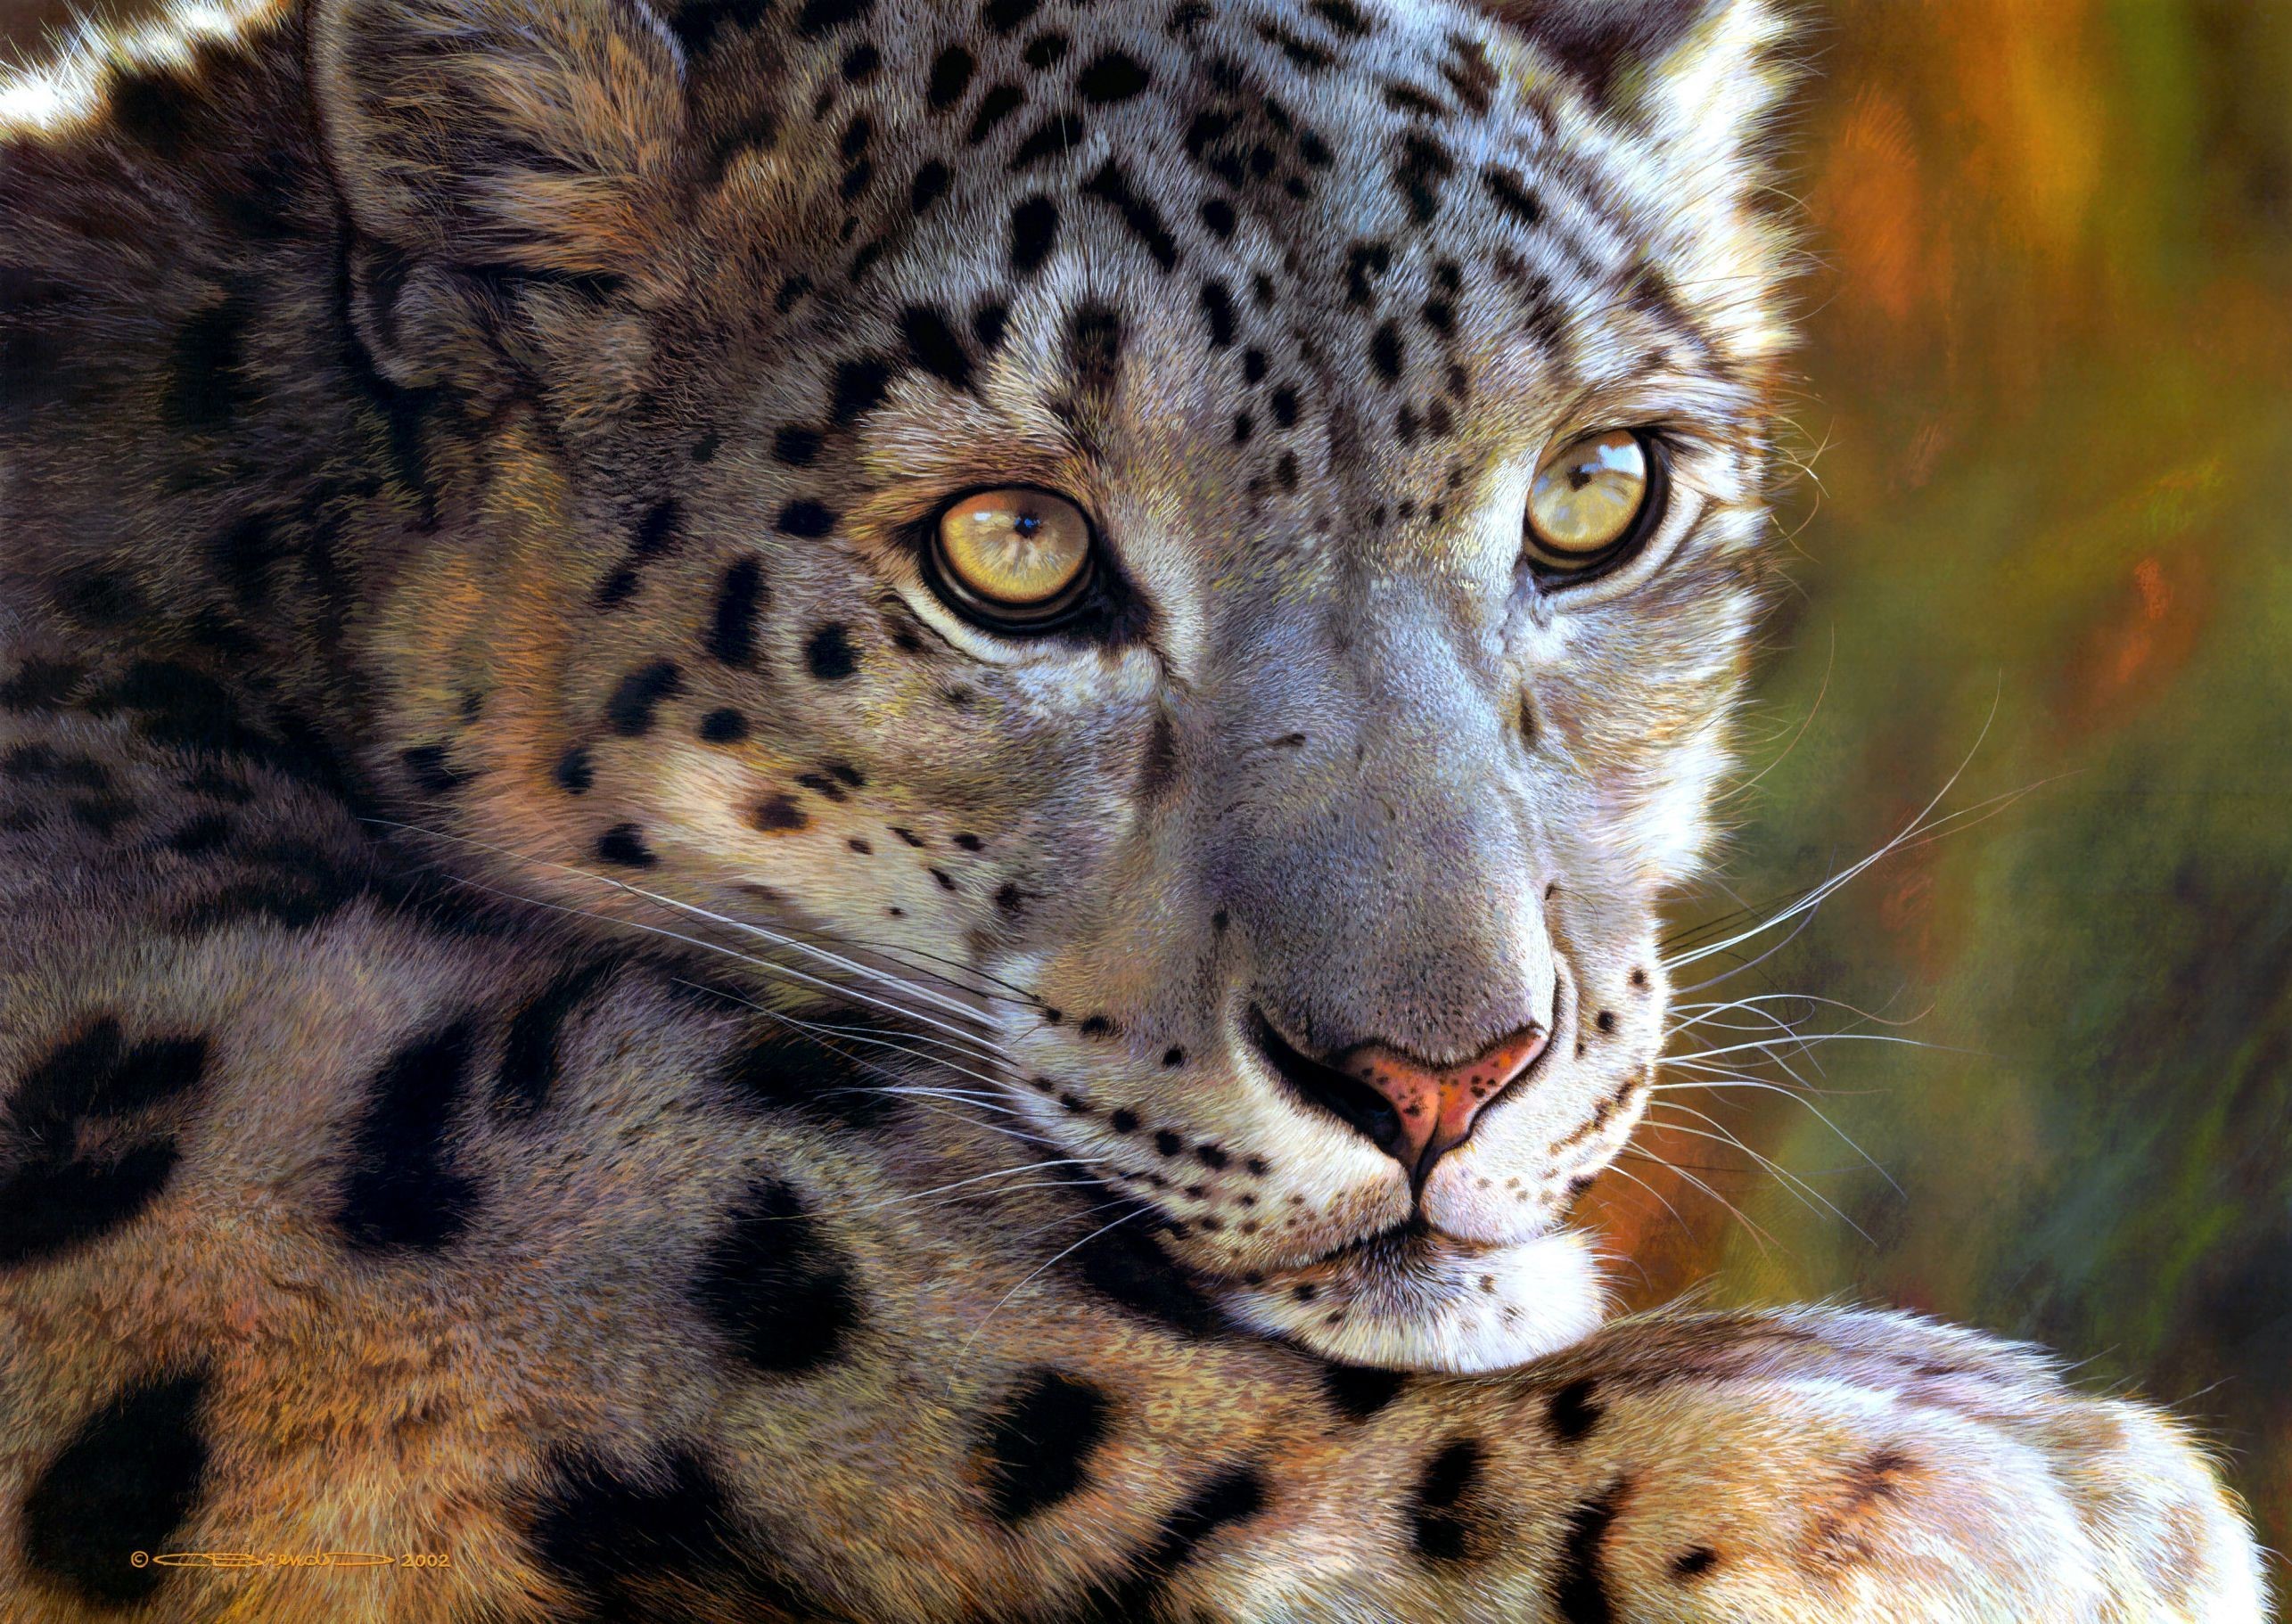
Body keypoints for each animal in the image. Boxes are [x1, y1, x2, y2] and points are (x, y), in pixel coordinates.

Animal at [0, 0, 2269, 1617]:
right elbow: (732, 1243)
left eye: (1595, 494)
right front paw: (1928, 1477)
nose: (1443, 1074)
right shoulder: (215, 1049)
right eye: (1008, 547)